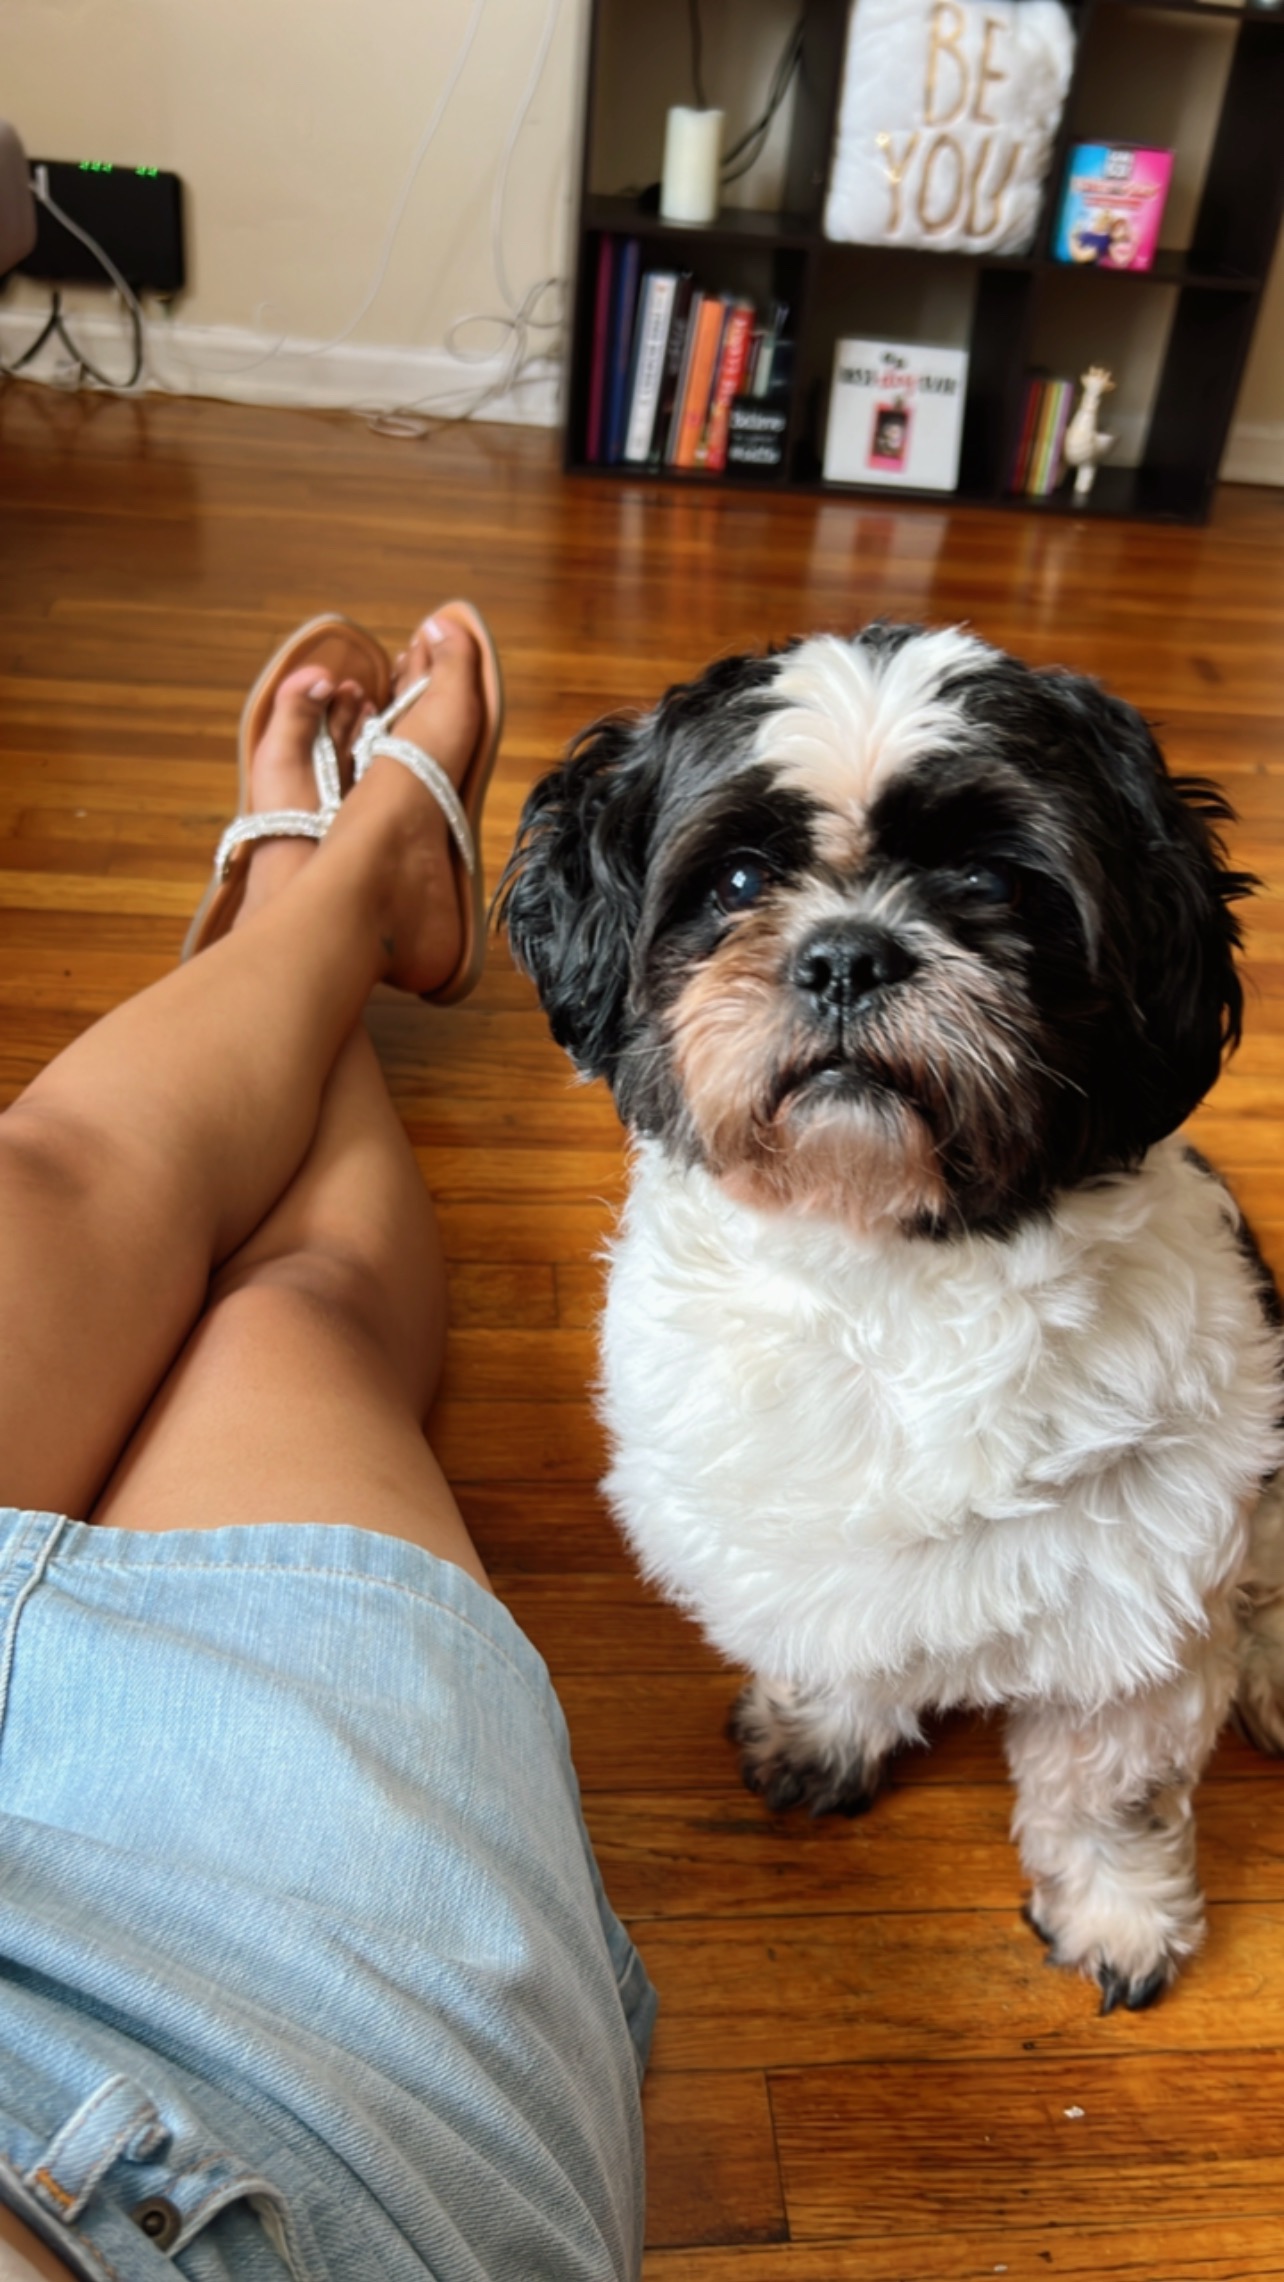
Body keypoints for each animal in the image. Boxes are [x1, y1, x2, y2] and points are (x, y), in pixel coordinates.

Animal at [499, 623, 1284, 2012]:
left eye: (994, 880)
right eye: (740, 876)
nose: (848, 952)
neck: (889, 1272)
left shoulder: (1137, 1606)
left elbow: (1111, 1791)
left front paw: (1120, 1911)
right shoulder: (799, 1541)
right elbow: (843, 1643)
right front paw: (822, 1729)